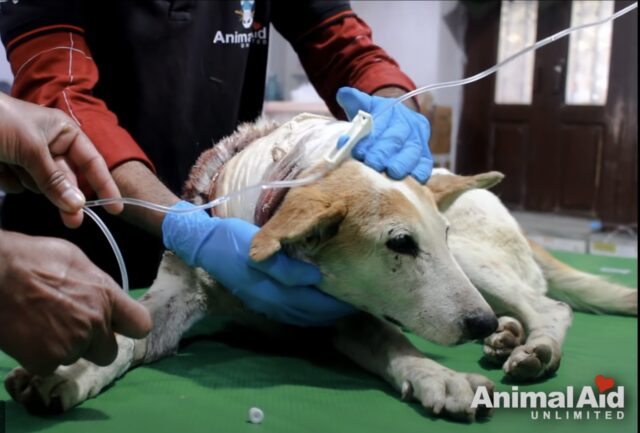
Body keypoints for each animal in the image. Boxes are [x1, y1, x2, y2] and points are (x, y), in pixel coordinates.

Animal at [5, 111, 636, 418]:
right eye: (400, 244)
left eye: (437, 235)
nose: (475, 324)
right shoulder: (177, 295)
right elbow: (125, 337)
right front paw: (67, 374)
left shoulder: (347, 311)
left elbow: (393, 341)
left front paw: (440, 377)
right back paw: (505, 335)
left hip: (475, 263)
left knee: (549, 306)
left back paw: (530, 346)